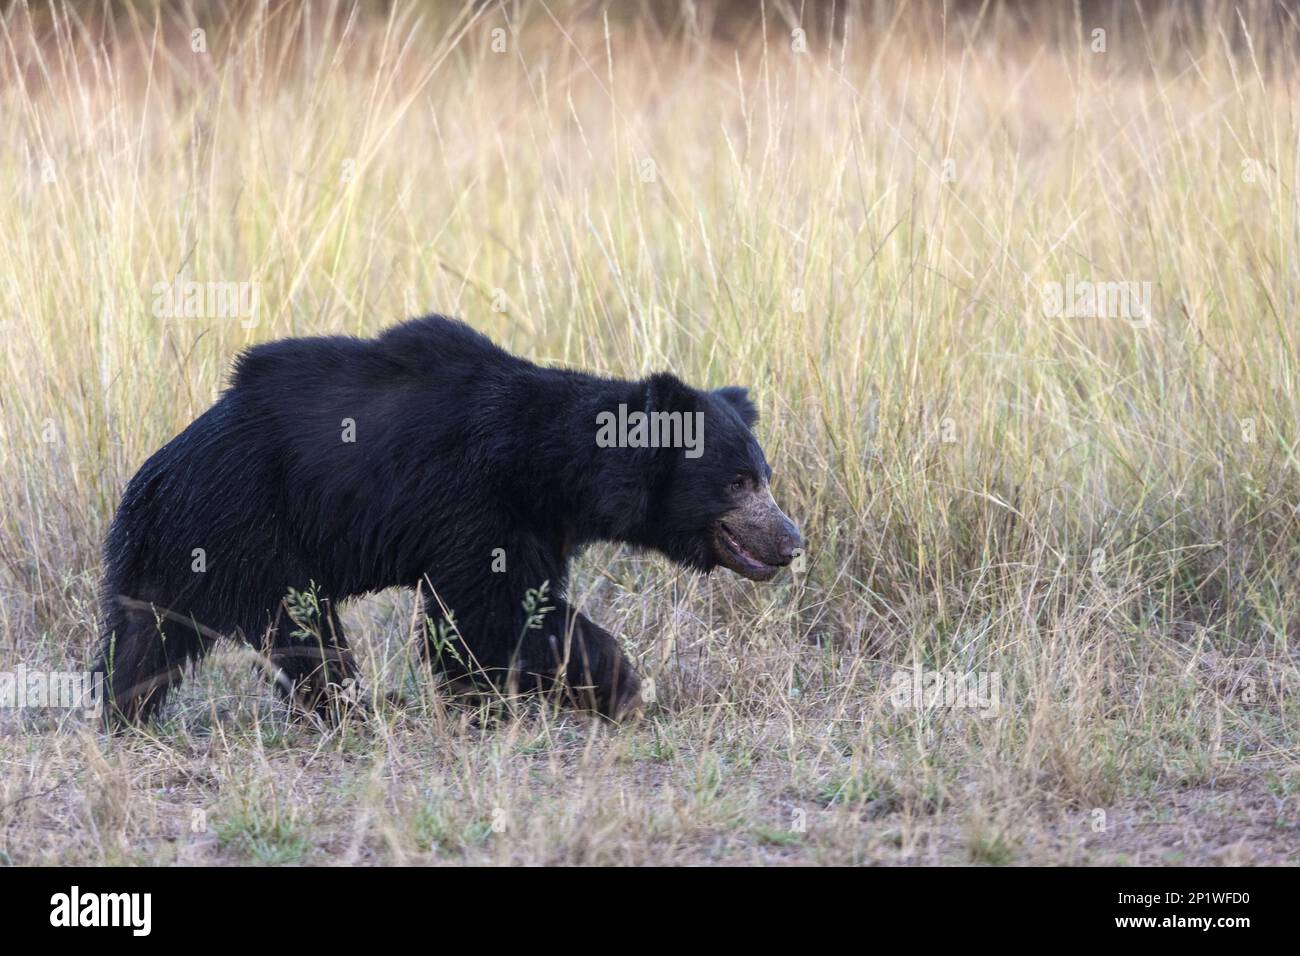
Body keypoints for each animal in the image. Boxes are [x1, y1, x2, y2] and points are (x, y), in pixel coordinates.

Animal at [94, 314, 800, 723]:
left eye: (763, 475)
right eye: (737, 482)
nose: (791, 540)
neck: (553, 469)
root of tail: (154, 478)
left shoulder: (537, 522)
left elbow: (481, 614)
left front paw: (481, 697)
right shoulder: (476, 495)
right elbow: (494, 606)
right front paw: (619, 683)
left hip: (178, 552)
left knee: (144, 638)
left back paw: (124, 711)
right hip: (249, 524)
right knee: (304, 627)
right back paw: (350, 708)